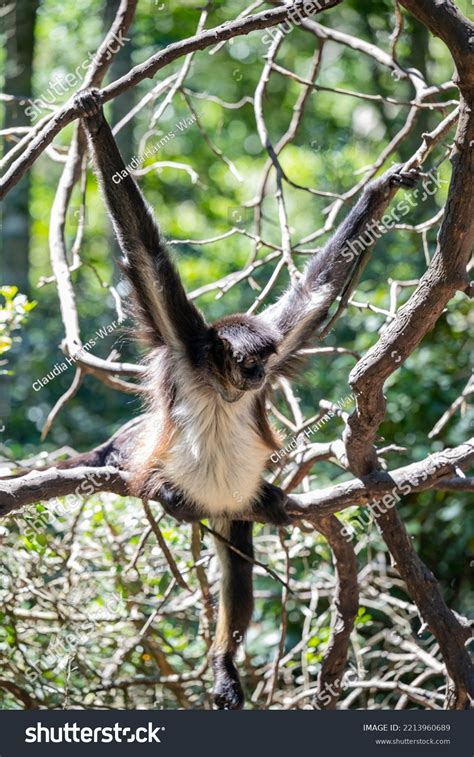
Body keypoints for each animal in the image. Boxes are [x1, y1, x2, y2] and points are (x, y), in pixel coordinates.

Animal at [73, 88, 418, 708]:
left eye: (263, 362)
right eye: (247, 362)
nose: (258, 377)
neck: (219, 382)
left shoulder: (277, 341)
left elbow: (316, 291)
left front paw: (382, 190)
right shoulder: (183, 342)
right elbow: (146, 254)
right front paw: (92, 117)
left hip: (232, 509)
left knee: (237, 566)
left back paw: (224, 661)